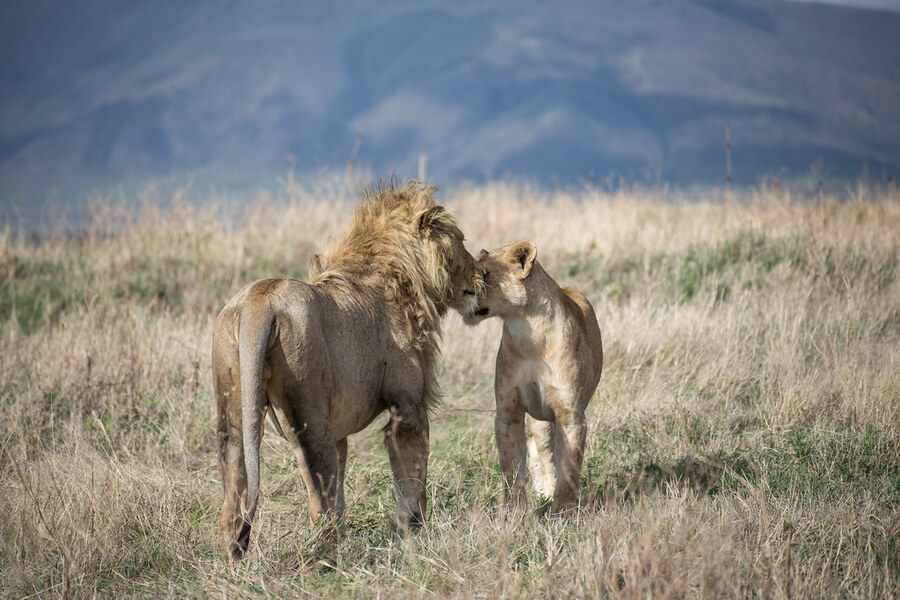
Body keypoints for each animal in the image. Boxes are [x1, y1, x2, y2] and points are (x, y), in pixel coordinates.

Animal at [214, 179, 486, 556]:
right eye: (461, 242)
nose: (483, 272)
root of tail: (260, 300)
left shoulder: (340, 429)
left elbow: (345, 491)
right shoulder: (407, 408)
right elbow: (412, 479)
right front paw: (415, 536)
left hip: (233, 411)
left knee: (233, 505)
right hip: (310, 415)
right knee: (320, 504)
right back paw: (332, 557)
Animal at [464, 241, 604, 512]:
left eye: (485, 275)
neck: (528, 332)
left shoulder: (570, 415)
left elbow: (569, 466)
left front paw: (564, 511)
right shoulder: (508, 413)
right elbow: (510, 467)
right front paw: (515, 512)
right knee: (540, 448)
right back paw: (545, 492)